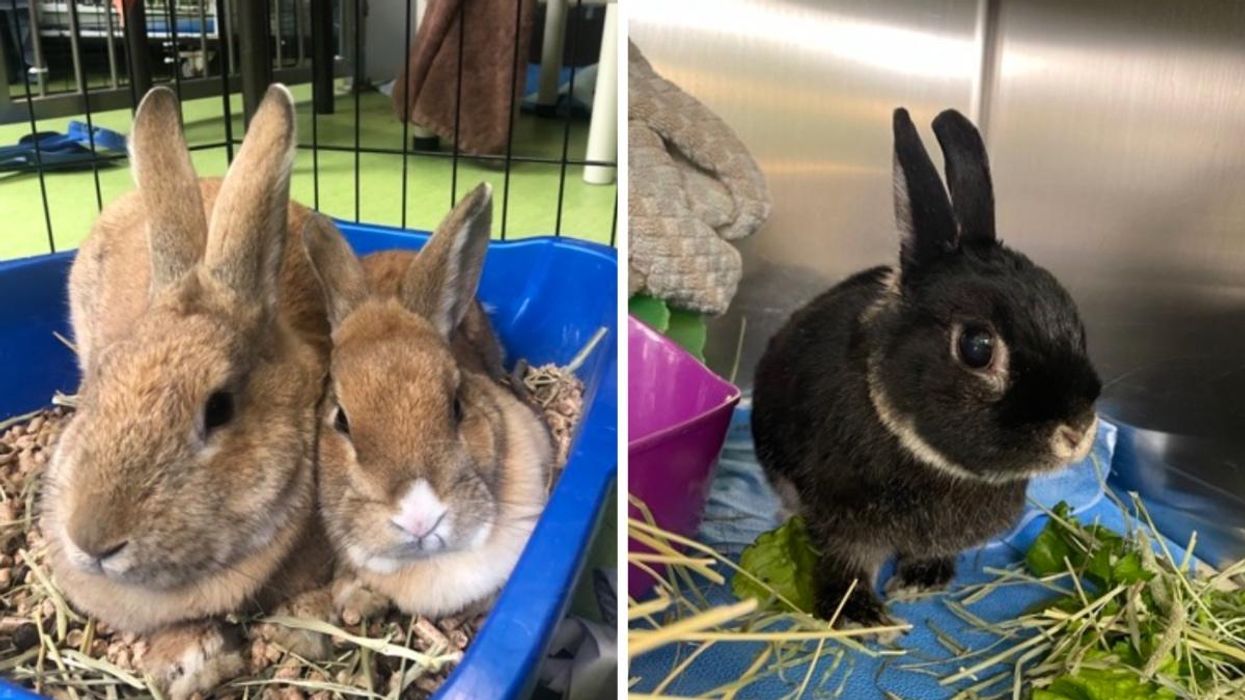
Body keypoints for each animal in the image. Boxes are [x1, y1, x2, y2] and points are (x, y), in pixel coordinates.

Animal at [750, 108, 1102, 628]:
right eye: (977, 347)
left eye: (1074, 319)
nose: (1076, 431)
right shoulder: (843, 520)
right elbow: (845, 563)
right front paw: (861, 616)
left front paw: (921, 581)